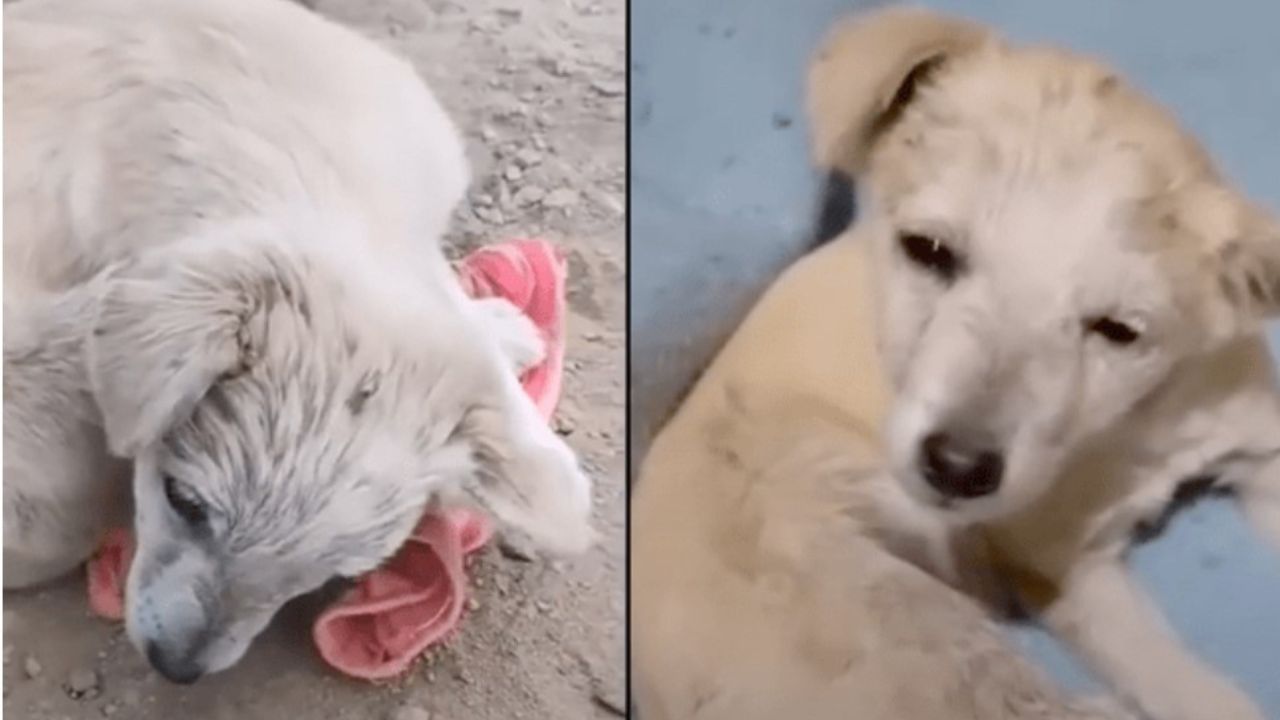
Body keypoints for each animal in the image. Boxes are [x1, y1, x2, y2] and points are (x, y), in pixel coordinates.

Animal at [629, 7, 1280, 717]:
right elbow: (1183, 682)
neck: (1144, 421)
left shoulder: (1256, 432)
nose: (958, 469)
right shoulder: (1067, 567)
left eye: (1119, 330)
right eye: (929, 250)